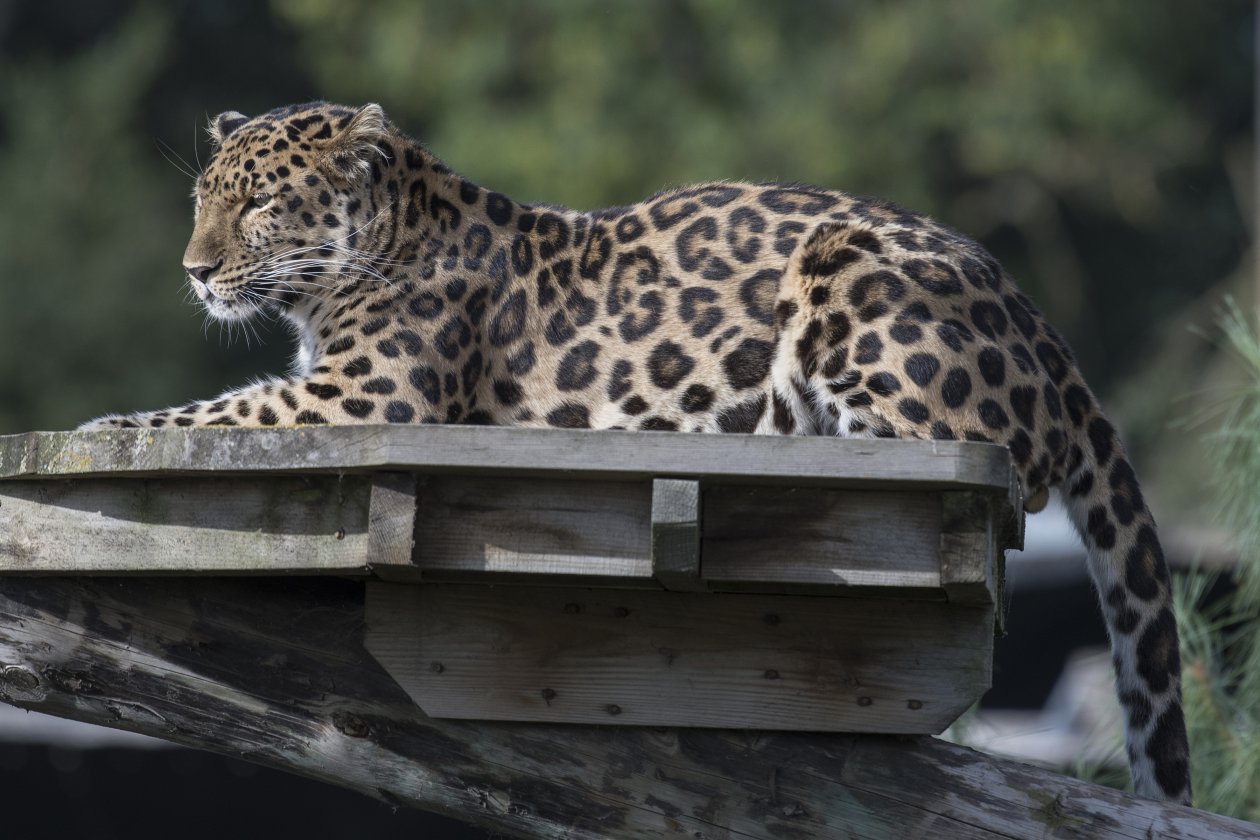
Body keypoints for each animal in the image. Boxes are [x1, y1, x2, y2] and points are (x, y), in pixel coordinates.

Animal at [82, 101, 1190, 803]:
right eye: (202, 199)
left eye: (260, 203)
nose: (194, 270)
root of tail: (1046, 331)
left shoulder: (368, 394)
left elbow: (219, 412)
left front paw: (104, 430)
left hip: (851, 276)